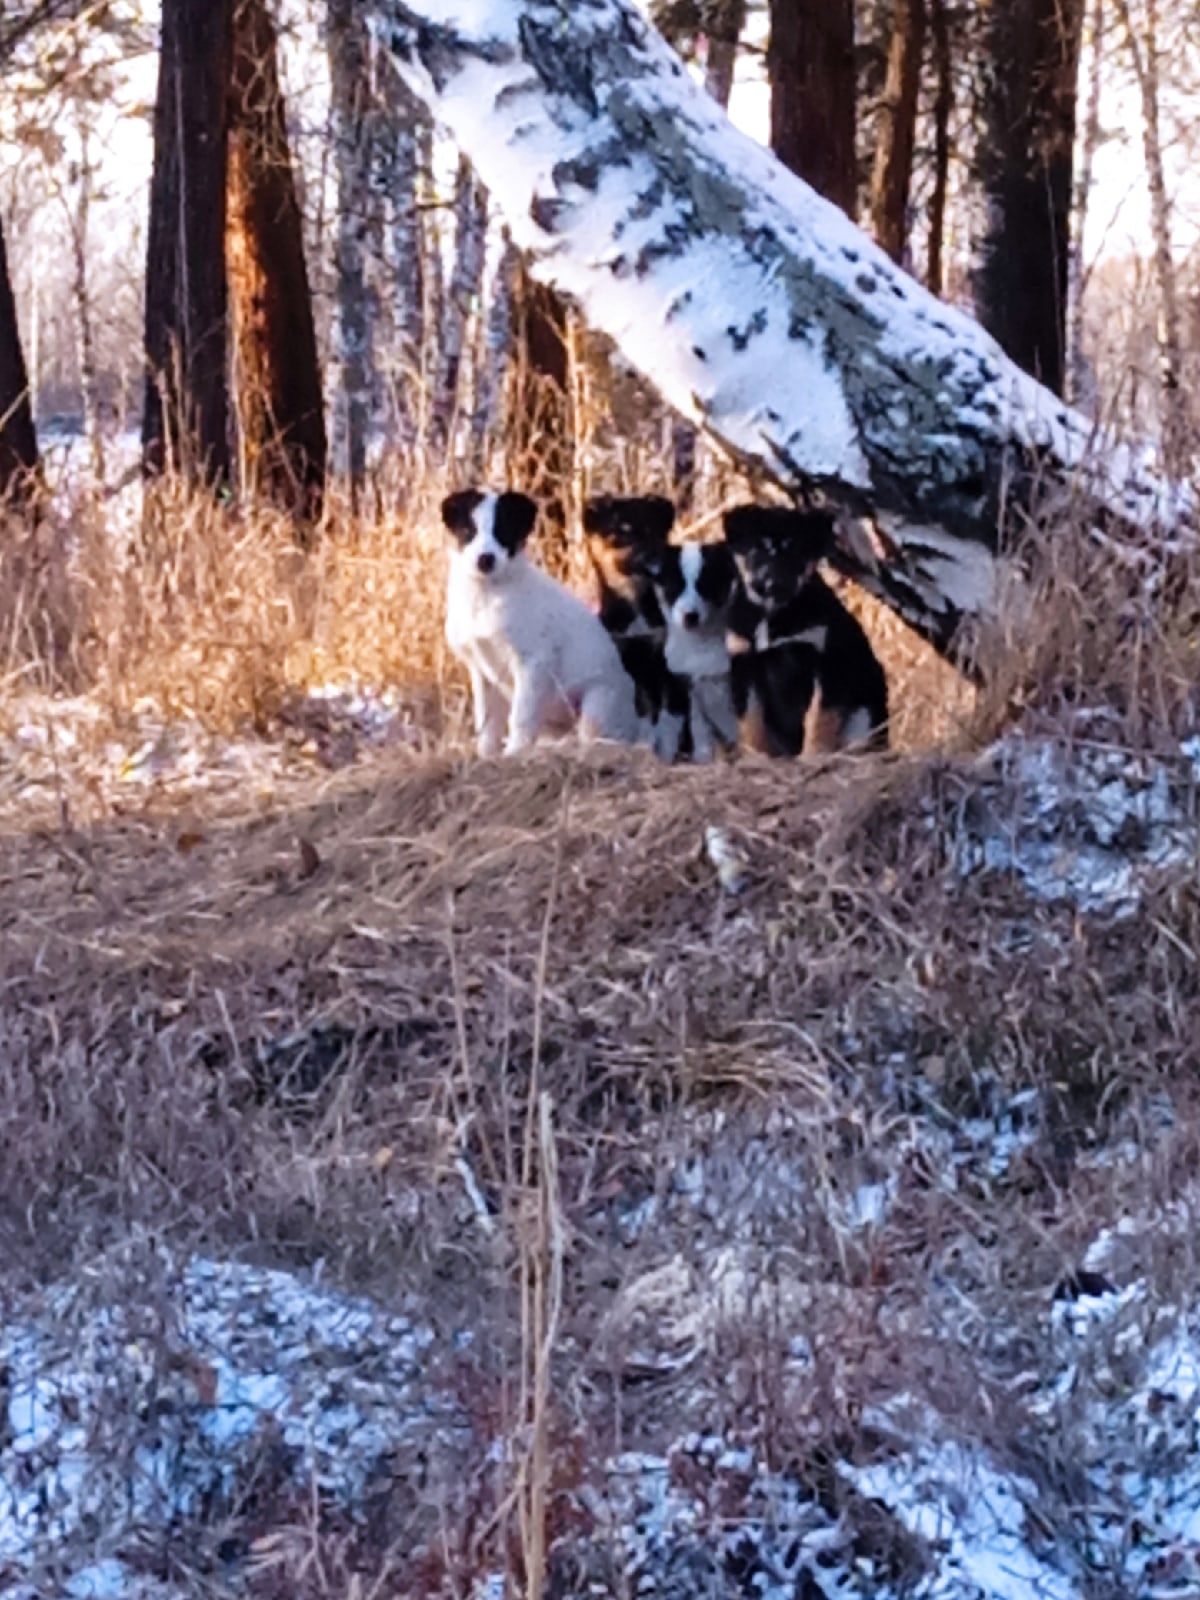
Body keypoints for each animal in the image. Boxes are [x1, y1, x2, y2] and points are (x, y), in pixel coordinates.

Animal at [444, 489, 649, 758]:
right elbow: (487, 724)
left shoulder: (533, 662)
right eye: (468, 530)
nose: (485, 560)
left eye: (503, 530)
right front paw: (486, 756)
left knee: (591, 738)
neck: (486, 595)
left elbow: (519, 716)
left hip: (596, 705)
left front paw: (514, 754)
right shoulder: (481, 671)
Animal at [585, 489, 694, 758]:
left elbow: (668, 717)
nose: (651, 560)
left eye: (655, 531)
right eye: (622, 531)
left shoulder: (664, 665)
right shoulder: (625, 657)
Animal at [649, 537, 742, 761]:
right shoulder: (680, 688)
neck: (697, 645)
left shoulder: (719, 686)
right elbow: (696, 729)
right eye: (674, 586)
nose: (690, 616)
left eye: (706, 585)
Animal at [723, 505, 896, 755]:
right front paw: (755, 755)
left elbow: (820, 717)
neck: (772, 615)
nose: (772, 584)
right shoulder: (742, 664)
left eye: (796, 551)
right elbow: (751, 721)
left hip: (866, 711)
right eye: (757, 548)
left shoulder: (828, 661)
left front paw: (814, 754)